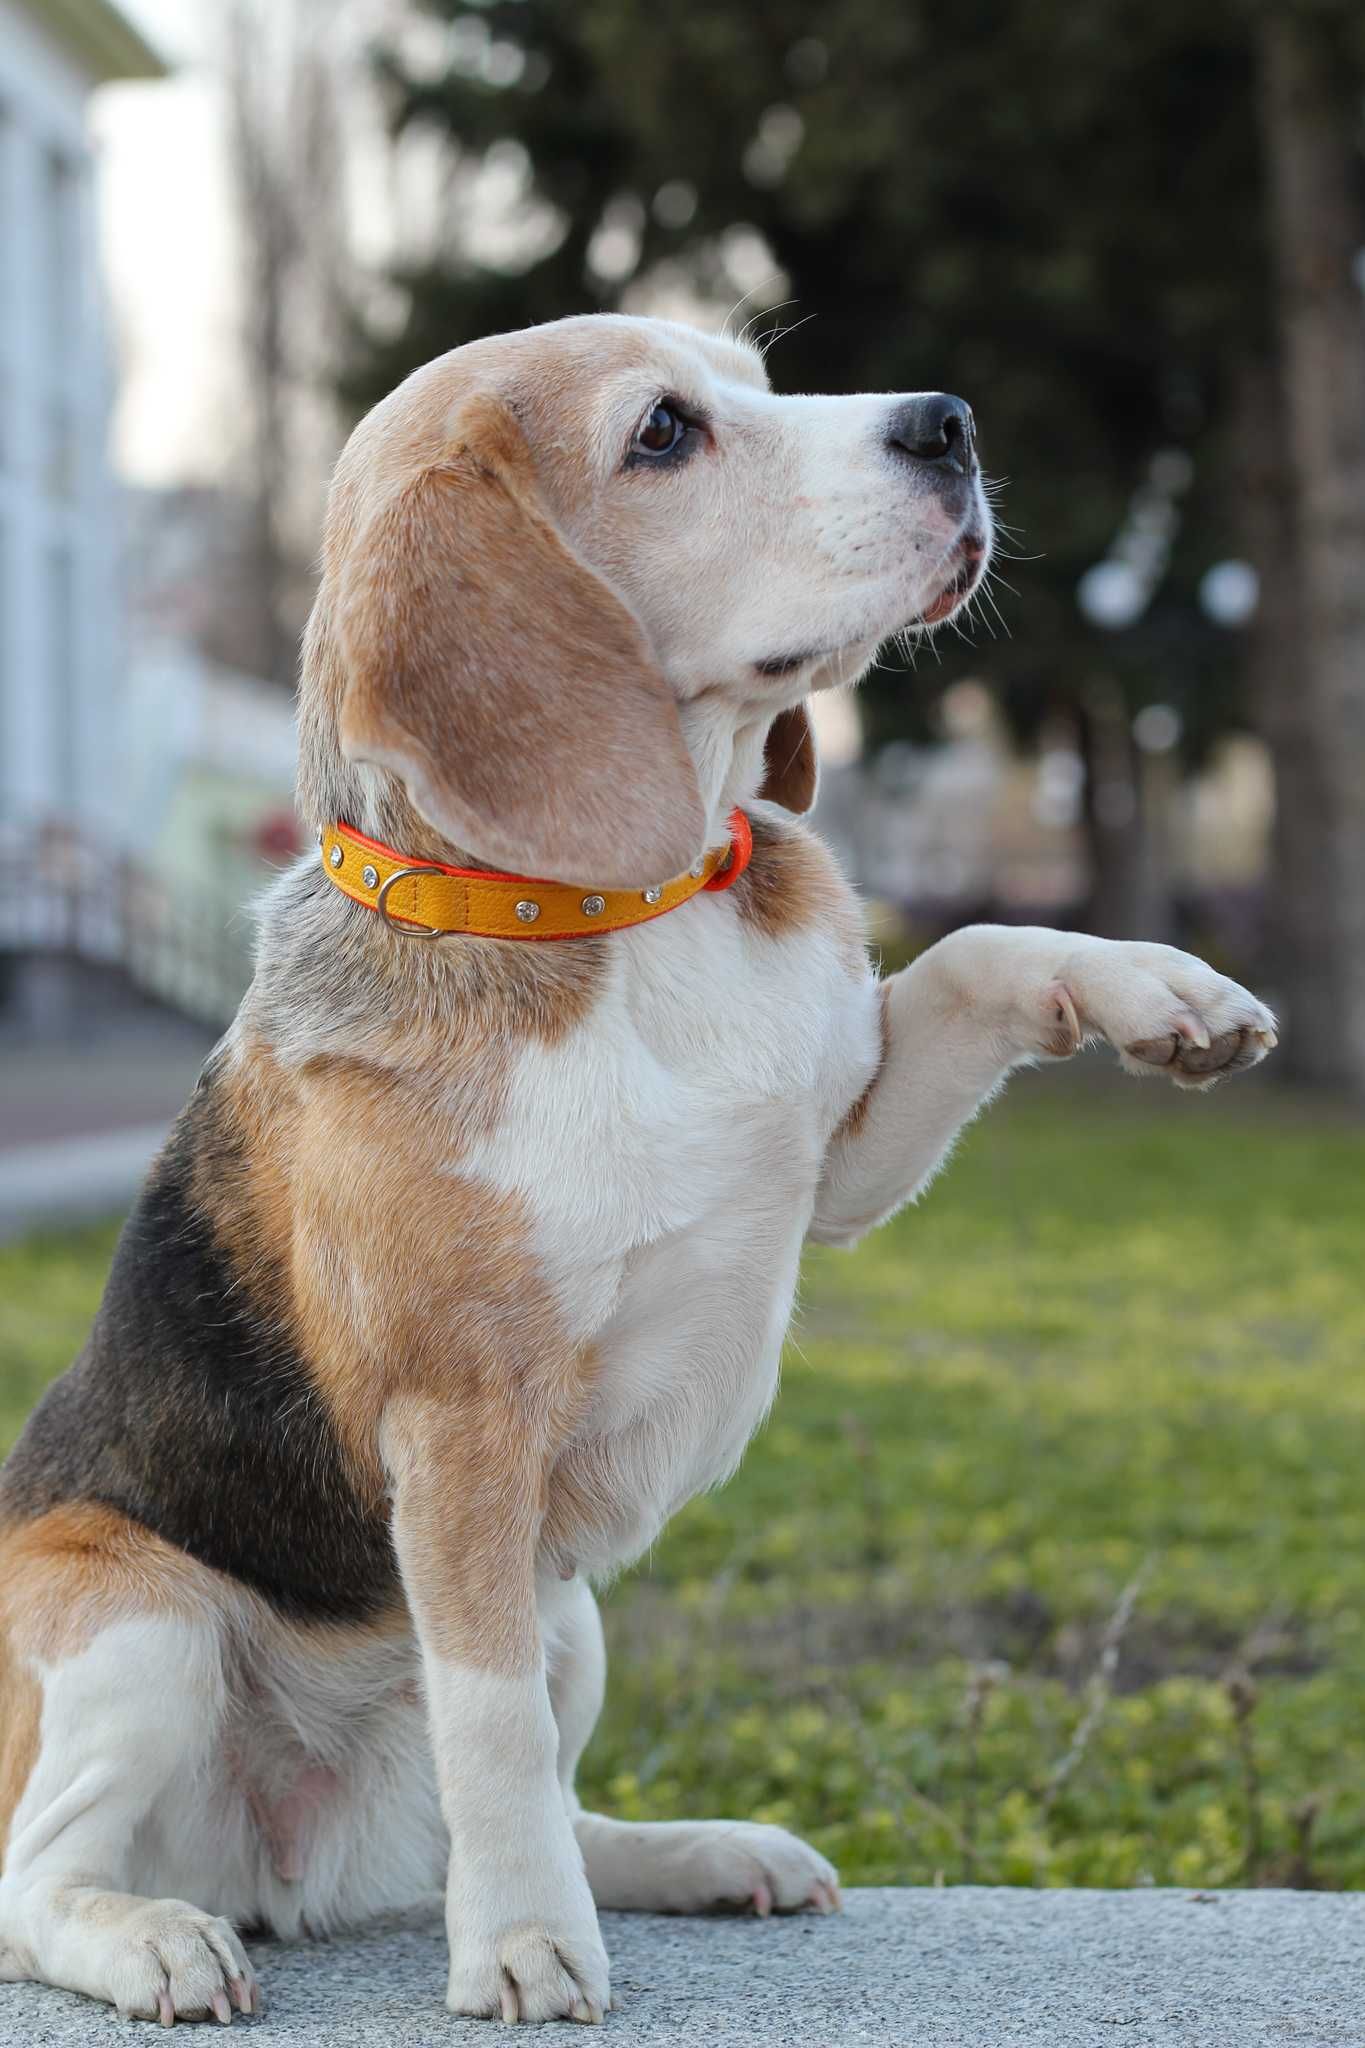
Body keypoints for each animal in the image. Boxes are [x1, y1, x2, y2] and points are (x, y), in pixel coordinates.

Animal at [0, 311, 1285, 2023]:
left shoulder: (831, 1164)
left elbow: (971, 954)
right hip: (140, 1621)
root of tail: (291, 1878)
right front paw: (523, 1941)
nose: (947, 423)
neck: (621, 912)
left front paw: (1163, 996)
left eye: (754, 373)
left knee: (536, 1796)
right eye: (664, 433)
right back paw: (156, 1937)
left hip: (577, 1617)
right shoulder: (462, 1423)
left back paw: (692, 1856)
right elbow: (486, 1719)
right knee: (39, 1880)